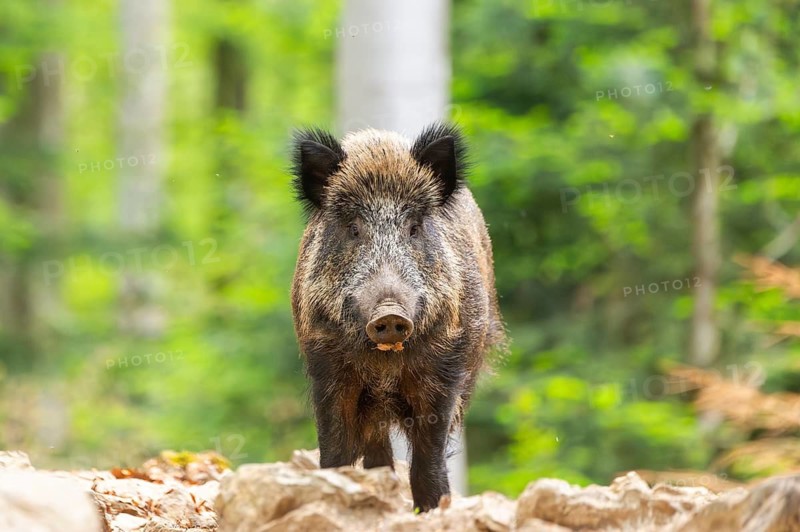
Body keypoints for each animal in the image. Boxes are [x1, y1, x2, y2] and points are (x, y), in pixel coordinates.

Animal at [290, 123, 506, 511]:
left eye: (414, 228)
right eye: (354, 228)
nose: (390, 312)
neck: (385, 366)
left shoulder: (446, 368)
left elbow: (427, 459)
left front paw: (432, 509)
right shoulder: (325, 364)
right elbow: (335, 451)